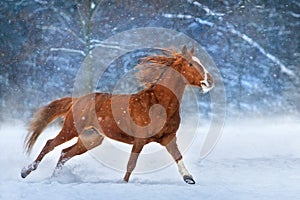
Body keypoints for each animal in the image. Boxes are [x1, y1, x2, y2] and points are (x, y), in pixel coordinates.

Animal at [20, 45, 213, 184]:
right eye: (190, 64)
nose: (209, 81)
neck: (158, 103)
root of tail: (78, 100)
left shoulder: (168, 137)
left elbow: (177, 156)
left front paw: (188, 178)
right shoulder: (140, 140)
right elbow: (131, 164)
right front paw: (123, 183)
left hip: (91, 139)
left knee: (64, 154)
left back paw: (55, 178)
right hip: (71, 129)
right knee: (50, 144)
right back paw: (26, 171)